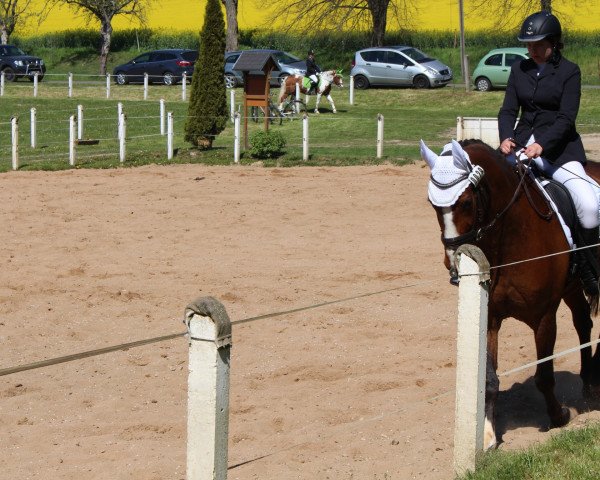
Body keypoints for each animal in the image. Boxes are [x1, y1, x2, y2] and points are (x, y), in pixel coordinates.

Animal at [420, 139, 600, 450]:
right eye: (433, 205)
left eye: (466, 203)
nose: (453, 261)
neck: (511, 237)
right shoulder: (490, 318)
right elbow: (489, 379)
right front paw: (488, 435)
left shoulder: (544, 317)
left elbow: (544, 375)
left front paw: (558, 417)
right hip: (573, 287)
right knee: (582, 323)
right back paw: (588, 384)